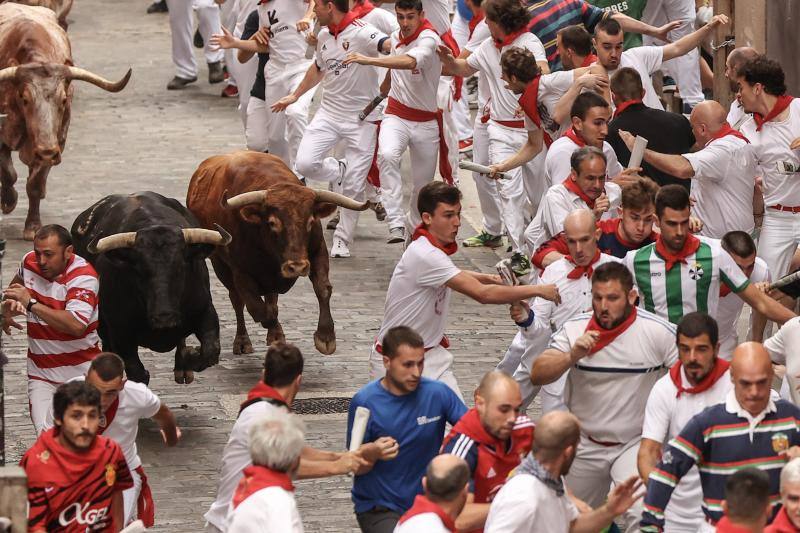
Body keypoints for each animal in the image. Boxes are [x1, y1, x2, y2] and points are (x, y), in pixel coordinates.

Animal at [0, 2, 131, 239]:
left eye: (63, 99)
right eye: (24, 98)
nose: (46, 150)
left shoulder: (57, 140)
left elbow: (35, 184)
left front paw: (32, 226)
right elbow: (8, 172)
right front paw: (8, 200)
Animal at [69, 191, 233, 382]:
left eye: (180, 268)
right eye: (139, 271)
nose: (164, 317)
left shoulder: (206, 311)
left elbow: (210, 350)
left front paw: (190, 357)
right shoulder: (120, 333)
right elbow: (136, 371)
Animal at [186, 150, 370, 356]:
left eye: (310, 221)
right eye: (273, 223)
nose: (297, 267)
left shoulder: (318, 251)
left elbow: (322, 289)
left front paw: (325, 337)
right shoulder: (240, 272)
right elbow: (258, 309)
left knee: (271, 297)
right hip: (220, 265)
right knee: (238, 300)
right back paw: (243, 340)